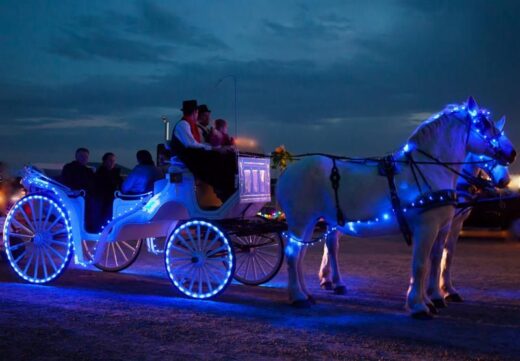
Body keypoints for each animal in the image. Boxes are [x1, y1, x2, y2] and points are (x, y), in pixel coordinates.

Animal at [276, 97, 516, 318]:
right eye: (483, 123)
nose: (512, 153)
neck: (428, 169)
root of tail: (288, 171)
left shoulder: (443, 226)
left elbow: (436, 260)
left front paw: (432, 299)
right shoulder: (427, 227)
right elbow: (421, 264)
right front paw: (420, 306)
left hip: (311, 222)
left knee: (303, 254)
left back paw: (308, 293)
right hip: (300, 220)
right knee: (293, 255)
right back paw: (298, 296)